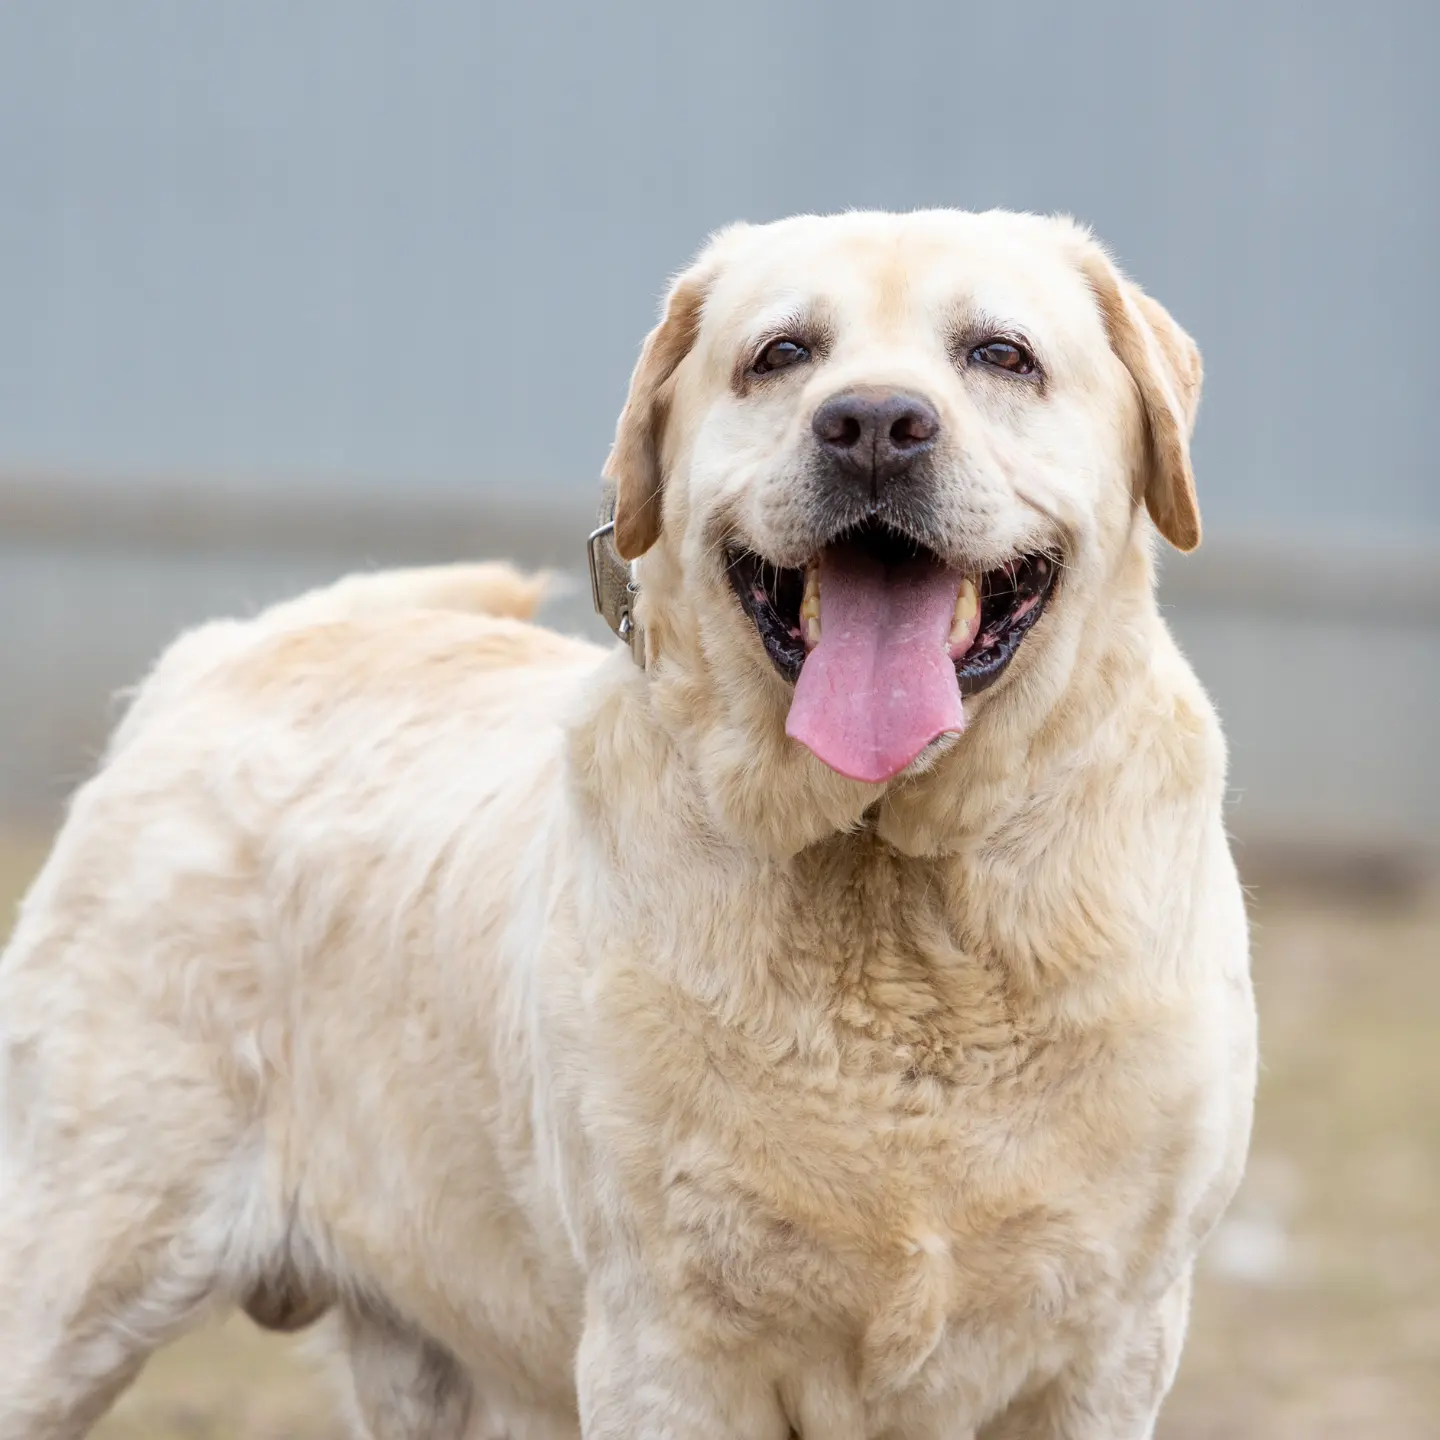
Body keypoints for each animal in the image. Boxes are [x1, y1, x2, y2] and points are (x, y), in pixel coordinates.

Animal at [2, 208, 1249, 1434]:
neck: (896, 901)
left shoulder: (1111, 1351)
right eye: (781, 354)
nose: (873, 425)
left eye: (1001, 355)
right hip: (74, 1276)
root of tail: (221, 655)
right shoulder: (666, 1349)